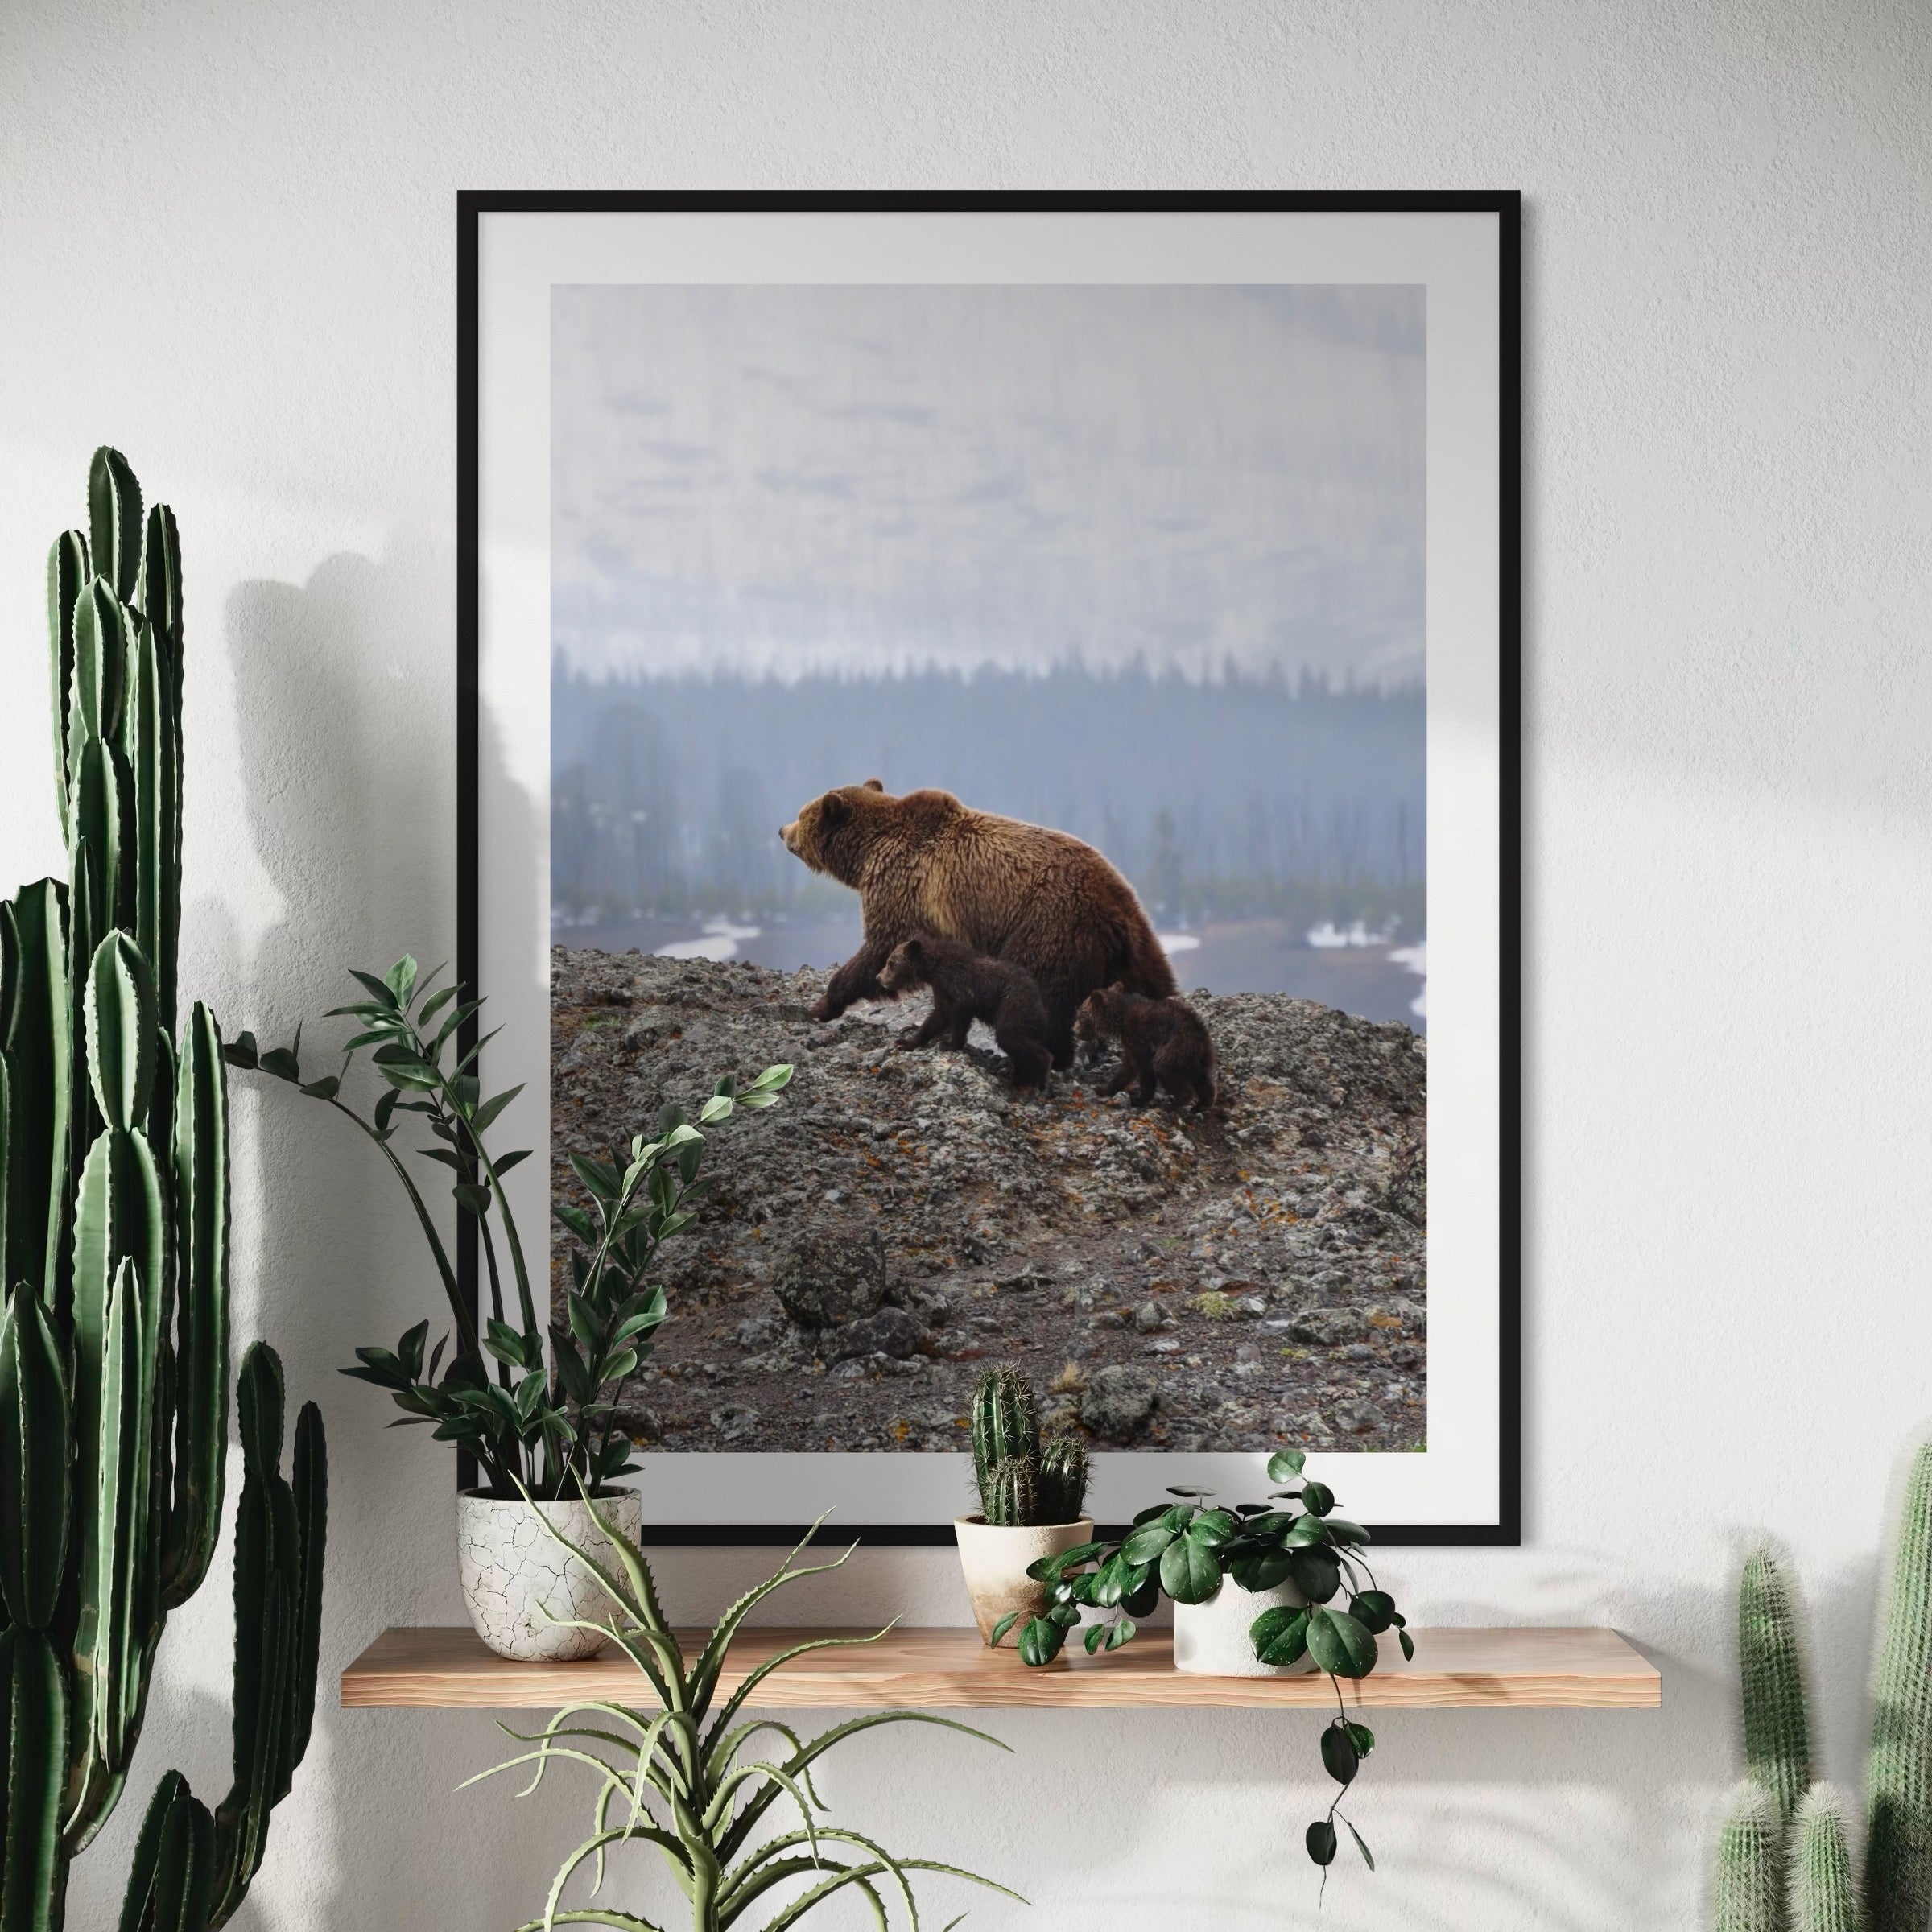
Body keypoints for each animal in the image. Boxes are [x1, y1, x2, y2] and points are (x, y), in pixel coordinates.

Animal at [780, 780, 1175, 1069]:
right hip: (1137, 943)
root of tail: (1115, 910)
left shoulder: (902, 886)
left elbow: (880, 947)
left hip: (1049, 925)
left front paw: (824, 1003)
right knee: (1156, 985)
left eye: (802, 813)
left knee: (1042, 992)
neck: (866, 855)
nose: (782, 829)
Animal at [877, 934, 1053, 1087]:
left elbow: (959, 1014)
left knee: (1009, 1035)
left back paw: (1038, 1074)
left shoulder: (959, 986)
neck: (933, 967)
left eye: (890, 962)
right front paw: (907, 1039)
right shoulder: (941, 988)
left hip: (1013, 1005)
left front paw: (949, 1043)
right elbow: (938, 1016)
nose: (878, 978)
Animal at [1073, 983, 1218, 1111]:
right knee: (1201, 1077)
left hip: (1176, 1046)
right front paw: (1103, 1089)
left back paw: (1174, 1104)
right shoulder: (1129, 1042)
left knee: (1165, 1068)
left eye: (1080, 1015)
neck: (1119, 1020)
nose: (1074, 1031)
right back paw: (1202, 1104)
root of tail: (1201, 1036)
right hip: (1197, 1057)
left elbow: (1142, 1067)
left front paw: (1139, 1099)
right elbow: (1128, 1068)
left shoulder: (1137, 1035)